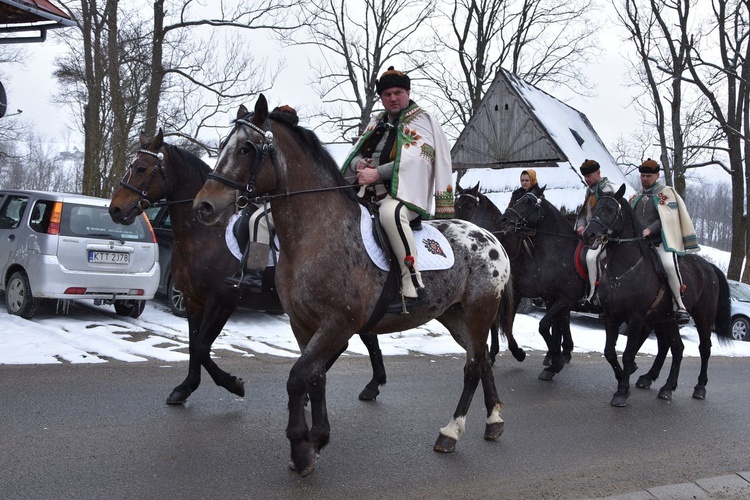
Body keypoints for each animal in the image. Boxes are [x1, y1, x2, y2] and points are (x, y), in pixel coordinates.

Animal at [194, 96, 516, 476]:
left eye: (246, 148)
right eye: (221, 146)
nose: (204, 205)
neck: (317, 233)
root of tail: (491, 238)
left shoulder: (338, 324)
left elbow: (299, 376)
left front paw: (302, 447)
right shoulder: (304, 324)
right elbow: (315, 377)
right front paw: (317, 438)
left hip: (479, 311)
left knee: (472, 367)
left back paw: (451, 432)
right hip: (454, 317)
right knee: (480, 360)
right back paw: (494, 421)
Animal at [496, 187, 592, 378]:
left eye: (527, 201)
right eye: (517, 198)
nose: (504, 219)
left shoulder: (564, 299)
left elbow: (544, 326)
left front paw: (555, 362)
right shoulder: (548, 297)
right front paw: (552, 359)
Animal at [580, 184, 736, 406]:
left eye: (610, 210)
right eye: (595, 209)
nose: (589, 235)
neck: (625, 268)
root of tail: (709, 266)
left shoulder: (636, 318)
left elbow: (628, 353)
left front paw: (622, 391)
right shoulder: (611, 315)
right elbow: (610, 352)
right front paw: (621, 379)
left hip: (703, 316)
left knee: (704, 348)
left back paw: (699, 387)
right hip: (666, 319)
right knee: (676, 348)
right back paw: (665, 386)